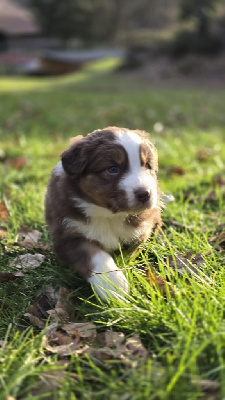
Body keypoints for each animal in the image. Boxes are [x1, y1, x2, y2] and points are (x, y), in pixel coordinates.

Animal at [45, 126, 162, 298]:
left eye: (147, 165)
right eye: (112, 169)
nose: (145, 194)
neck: (109, 216)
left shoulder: (139, 232)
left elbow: (128, 251)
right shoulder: (67, 235)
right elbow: (94, 255)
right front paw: (113, 284)